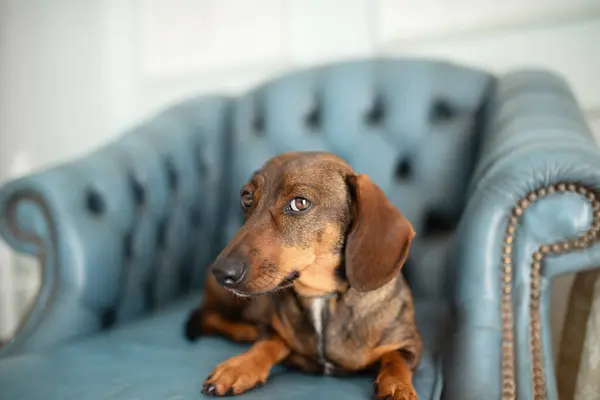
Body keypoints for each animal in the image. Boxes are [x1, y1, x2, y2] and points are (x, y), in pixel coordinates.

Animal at [184, 152, 422, 398]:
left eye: (300, 203)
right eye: (247, 198)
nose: (220, 272)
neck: (320, 296)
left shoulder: (410, 344)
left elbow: (396, 360)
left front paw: (398, 387)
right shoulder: (273, 330)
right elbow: (268, 342)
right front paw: (239, 367)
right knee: (208, 316)